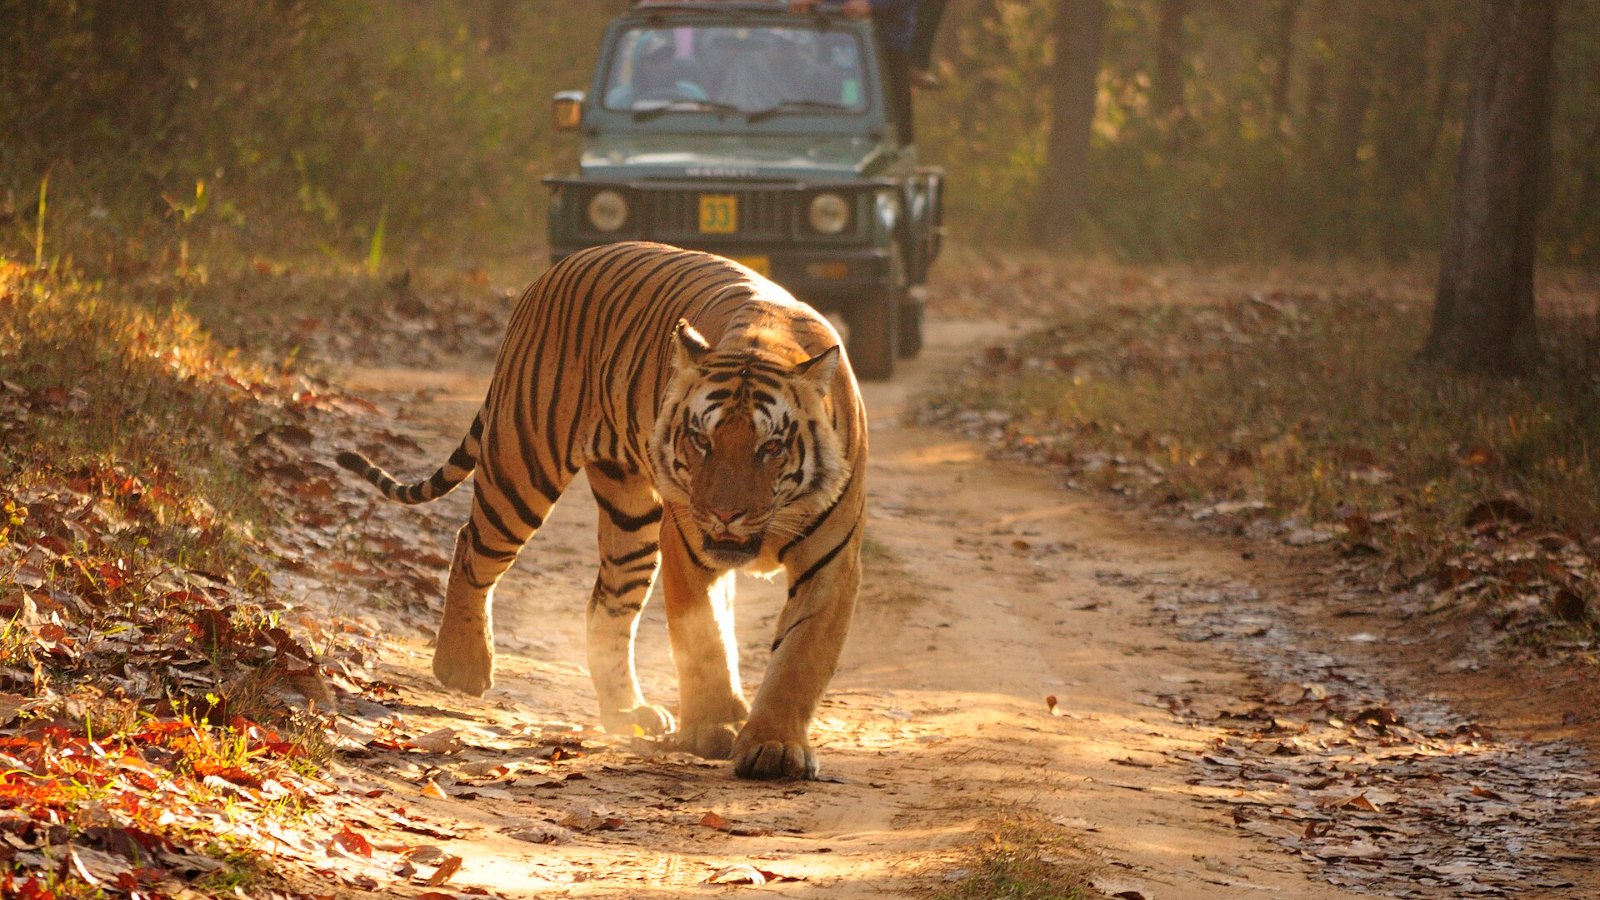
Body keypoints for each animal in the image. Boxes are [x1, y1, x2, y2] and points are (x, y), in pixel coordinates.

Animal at [335, 241, 867, 780]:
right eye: (701, 440)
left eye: (771, 447)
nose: (724, 514)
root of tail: (556, 269)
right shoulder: (689, 546)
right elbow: (705, 641)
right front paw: (713, 728)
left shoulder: (831, 561)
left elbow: (800, 657)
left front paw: (773, 745)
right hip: (522, 463)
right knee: (471, 546)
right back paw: (463, 666)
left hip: (630, 518)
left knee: (606, 606)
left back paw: (627, 711)